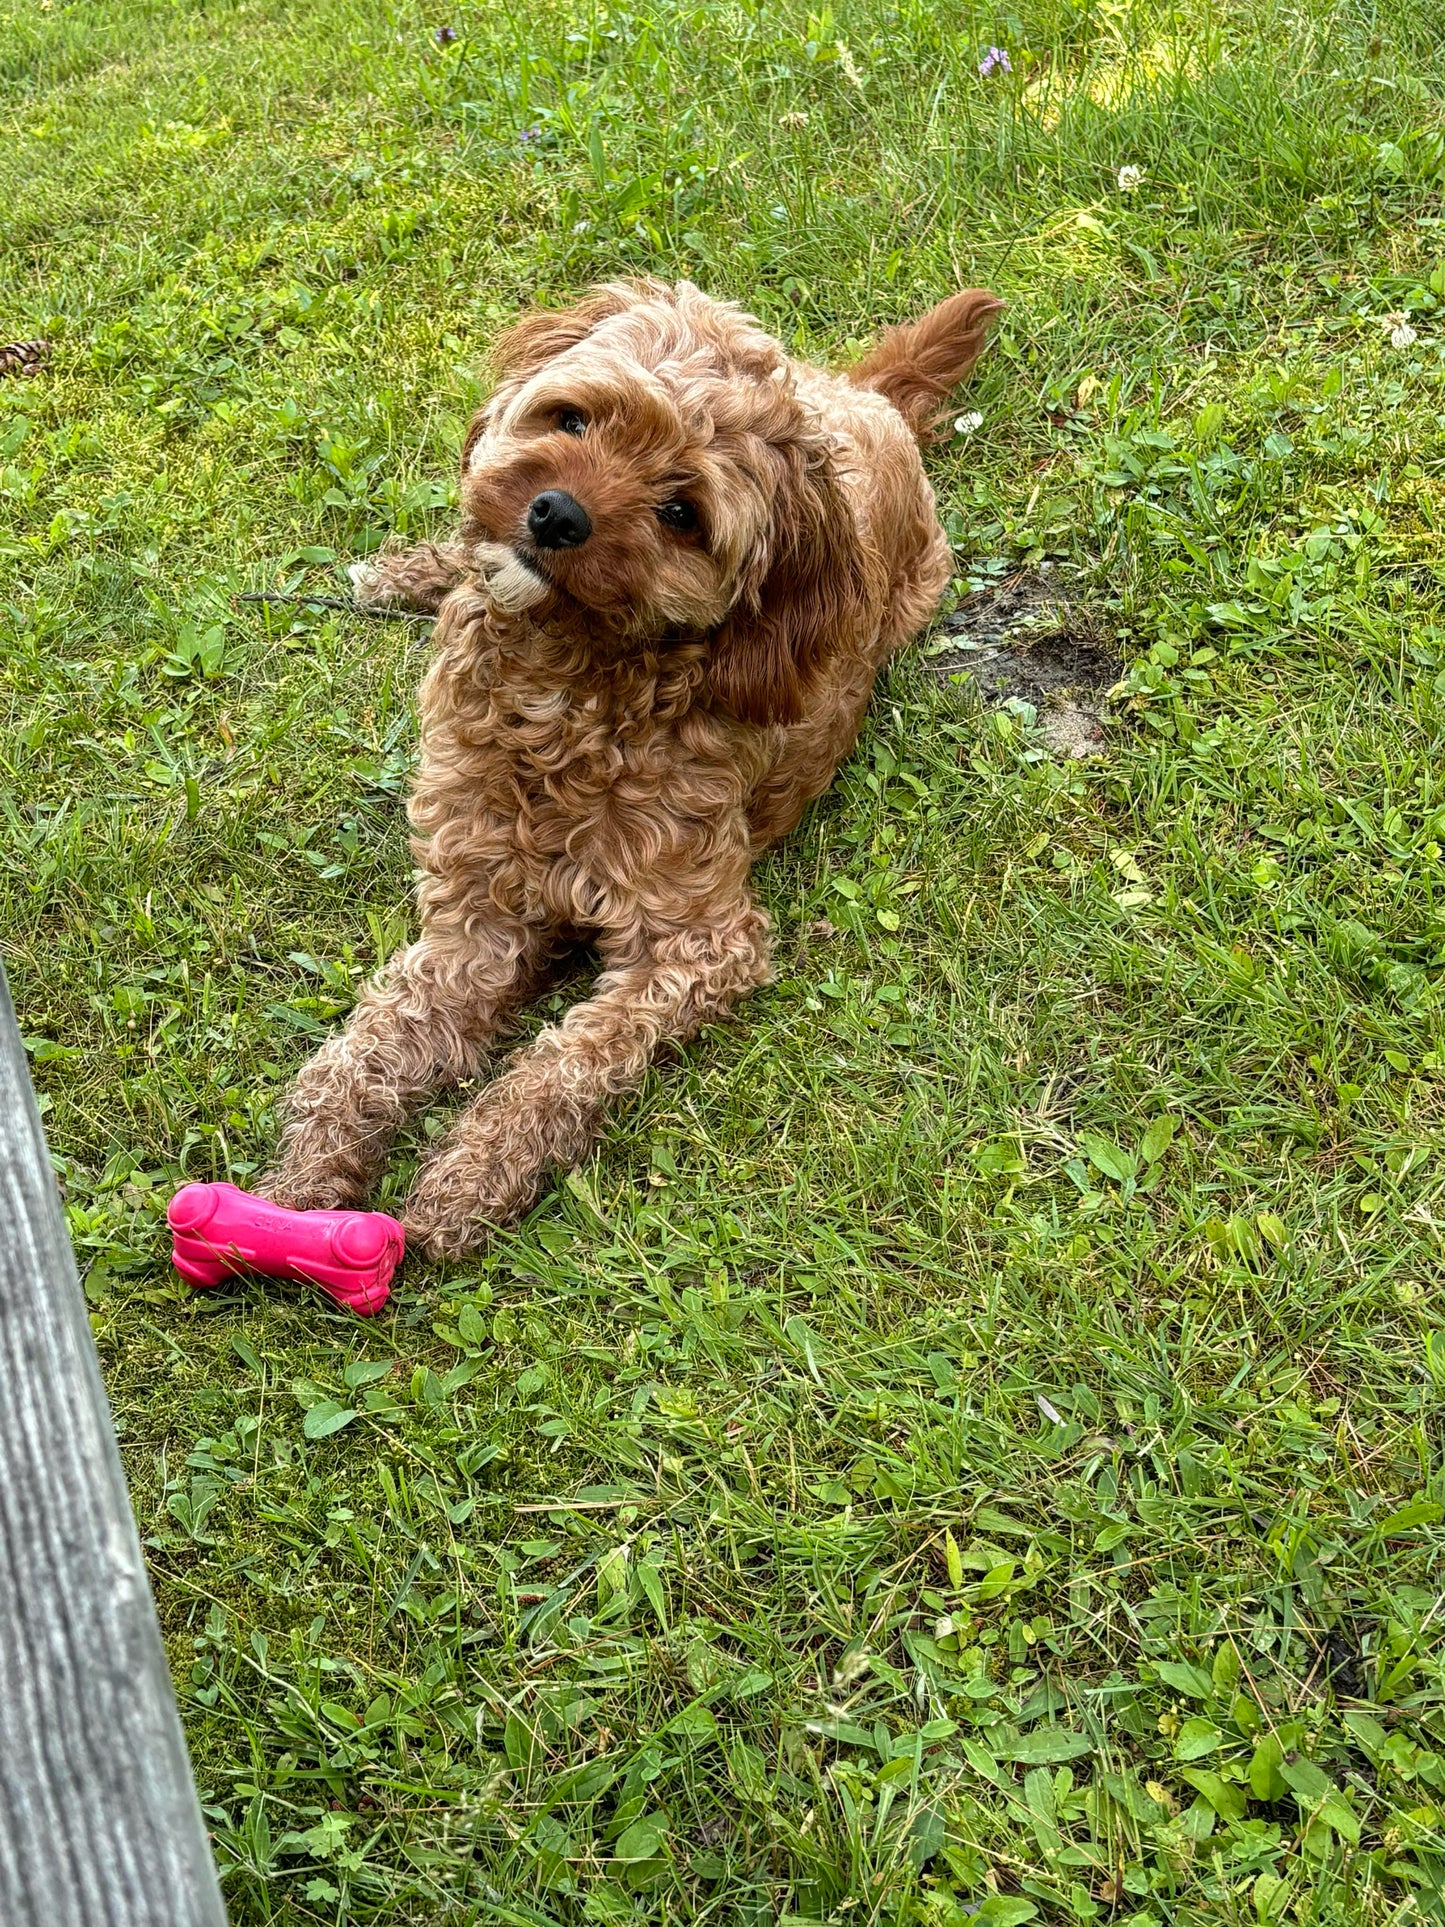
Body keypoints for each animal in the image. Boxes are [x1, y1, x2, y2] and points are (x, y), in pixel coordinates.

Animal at [265, 275, 1001, 1264]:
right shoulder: (473, 920)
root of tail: (856, 394)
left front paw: (468, 1175)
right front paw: (301, 1181)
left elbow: (564, 1062)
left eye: (680, 512)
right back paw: (404, 572)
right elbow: (370, 1045)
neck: (565, 697)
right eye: (573, 418)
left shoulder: (698, 944)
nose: (555, 514)